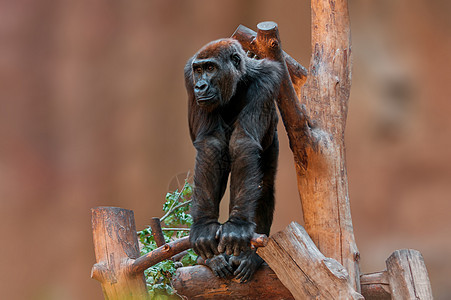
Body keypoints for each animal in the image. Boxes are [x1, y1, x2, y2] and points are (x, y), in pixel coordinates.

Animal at [185, 38, 282, 282]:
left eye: (211, 68)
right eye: (198, 70)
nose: (200, 86)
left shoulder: (268, 79)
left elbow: (243, 143)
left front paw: (237, 226)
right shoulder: (188, 76)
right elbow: (211, 145)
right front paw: (204, 226)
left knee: (263, 184)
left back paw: (250, 256)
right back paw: (211, 259)